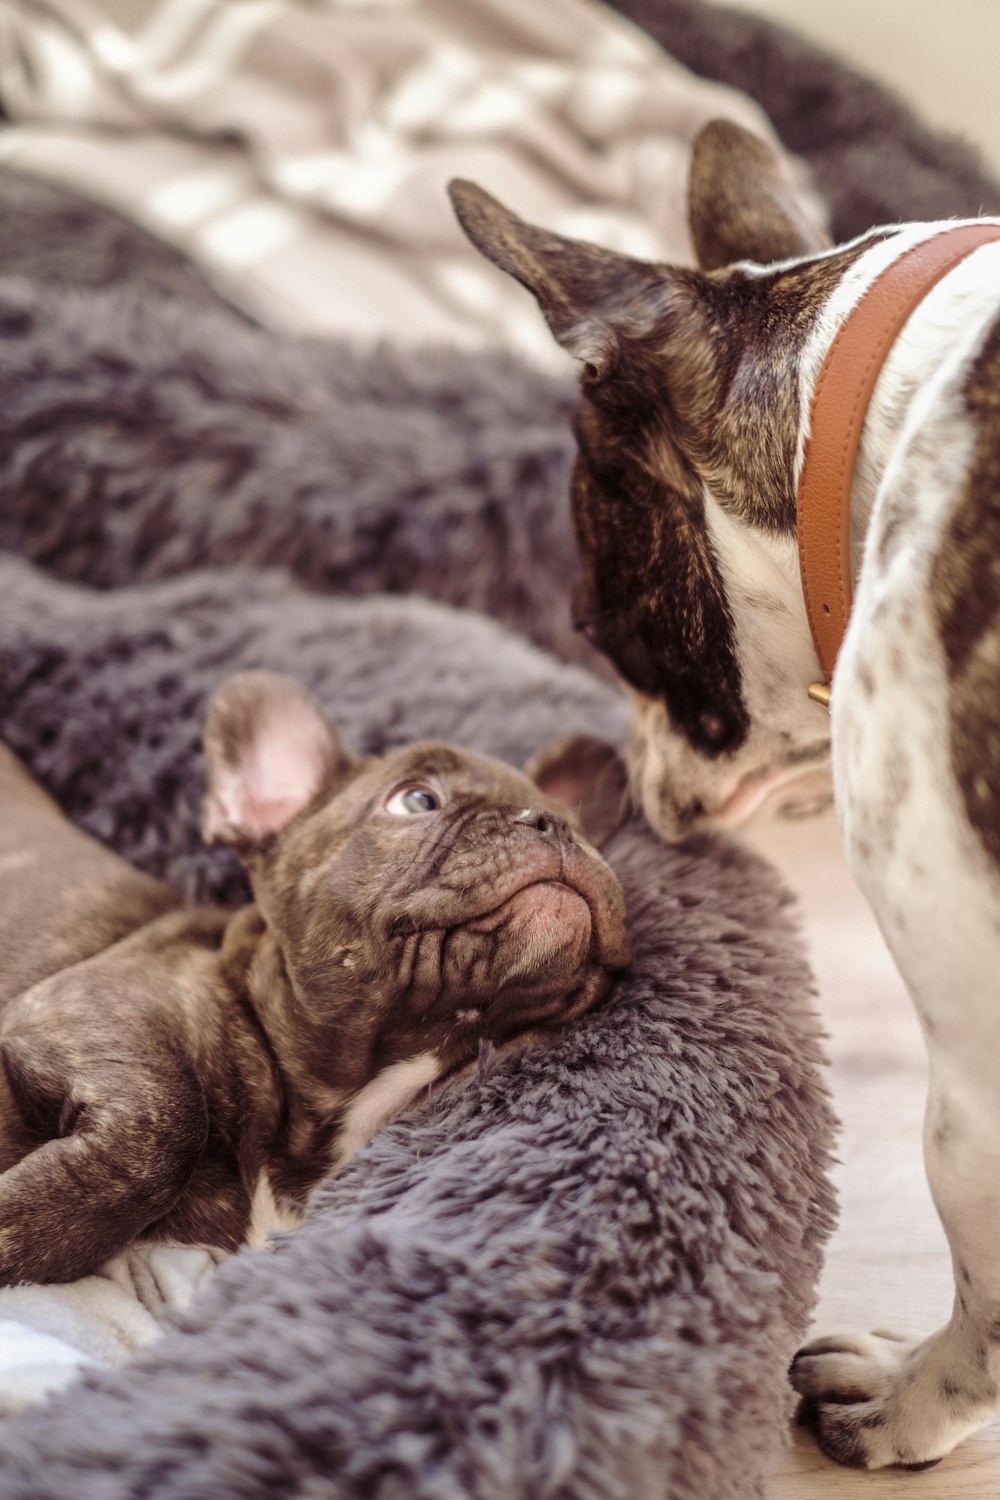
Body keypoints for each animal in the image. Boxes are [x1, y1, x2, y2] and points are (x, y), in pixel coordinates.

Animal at [0, 675, 629, 1284]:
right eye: (417, 799)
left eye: (577, 824)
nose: (554, 825)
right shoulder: (82, 1007)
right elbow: (166, 1123)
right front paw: (23, 1229)